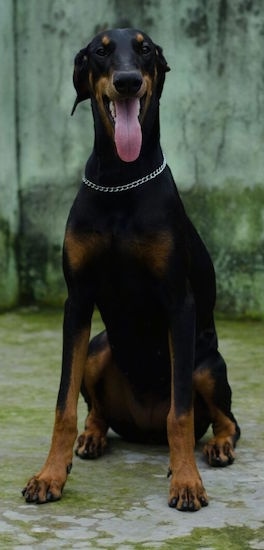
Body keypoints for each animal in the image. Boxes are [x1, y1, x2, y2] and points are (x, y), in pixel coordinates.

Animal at [22, 29, 239, 512]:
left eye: (144, 49)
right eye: (101, 50)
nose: (126, 81)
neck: (120, 180)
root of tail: (144, 429)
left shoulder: (179, 302)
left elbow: (181, 413)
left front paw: (186, 481)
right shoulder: (77, 301)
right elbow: (63, 404)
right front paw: (50, 475)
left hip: (206, 364)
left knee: (226, 420)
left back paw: (215, 447)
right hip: (99, 348)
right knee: (97, 409)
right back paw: (92, 437)